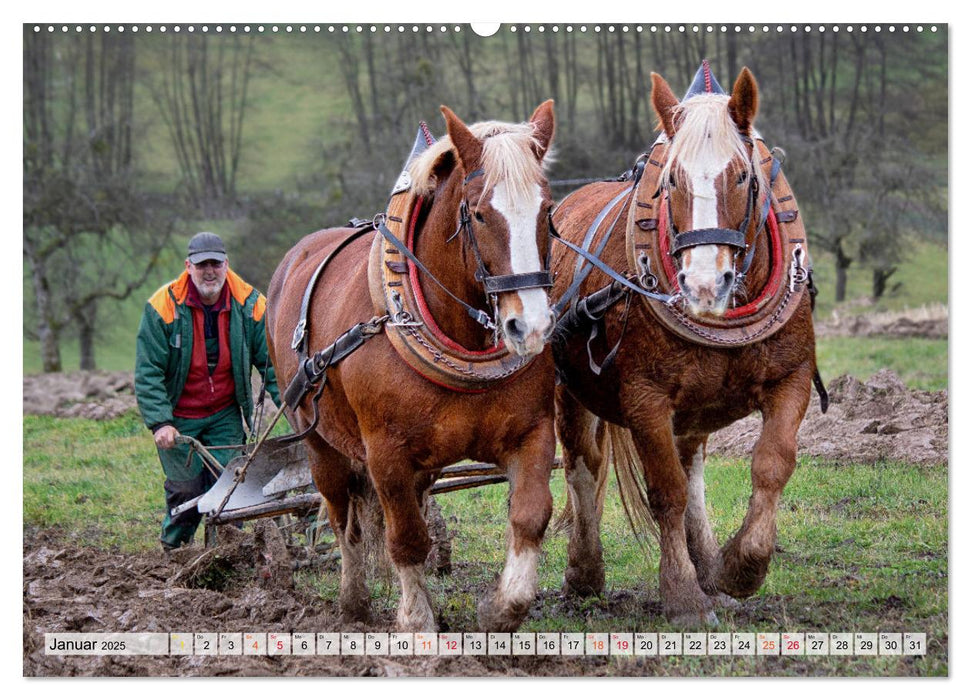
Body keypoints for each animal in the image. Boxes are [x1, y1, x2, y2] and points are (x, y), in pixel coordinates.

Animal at [270, 104, 560, 636]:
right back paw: (353, 601)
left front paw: (500, 609)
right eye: (479, 213)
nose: (529, 327)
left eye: (547, 211)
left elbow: (531, 516)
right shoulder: (386, 455)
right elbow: (404, 537)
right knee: (343, 519)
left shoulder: (531, 433)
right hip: (319, 441)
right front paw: (416, 620)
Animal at [552, 64, 824, 624]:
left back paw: (708, 567)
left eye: (741, 176)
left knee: (693, 467)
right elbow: (666, 492)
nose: (703, 286)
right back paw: (584, 574)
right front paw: (682, 595)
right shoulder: (645, 399)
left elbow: (772, 465)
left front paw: (738, 568)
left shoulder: (791, 379)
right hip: (569, 389)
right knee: (582, 466)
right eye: (672, 180)